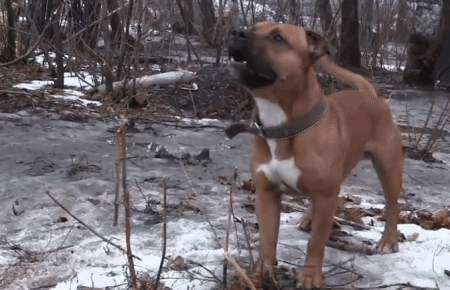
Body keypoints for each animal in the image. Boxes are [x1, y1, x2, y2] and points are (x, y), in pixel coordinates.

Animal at [227, 22, 402, 288]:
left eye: (278, 38)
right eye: (254, 27)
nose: (237, 32)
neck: (283, 125)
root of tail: (370, 95)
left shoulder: (325, 194)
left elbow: (316, 243)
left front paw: (309, 276)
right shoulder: (267, 194)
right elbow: (267, 241)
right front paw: (260, 275)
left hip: (388, 167)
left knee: (392, 205)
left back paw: (389, 240)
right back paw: (309, 218)